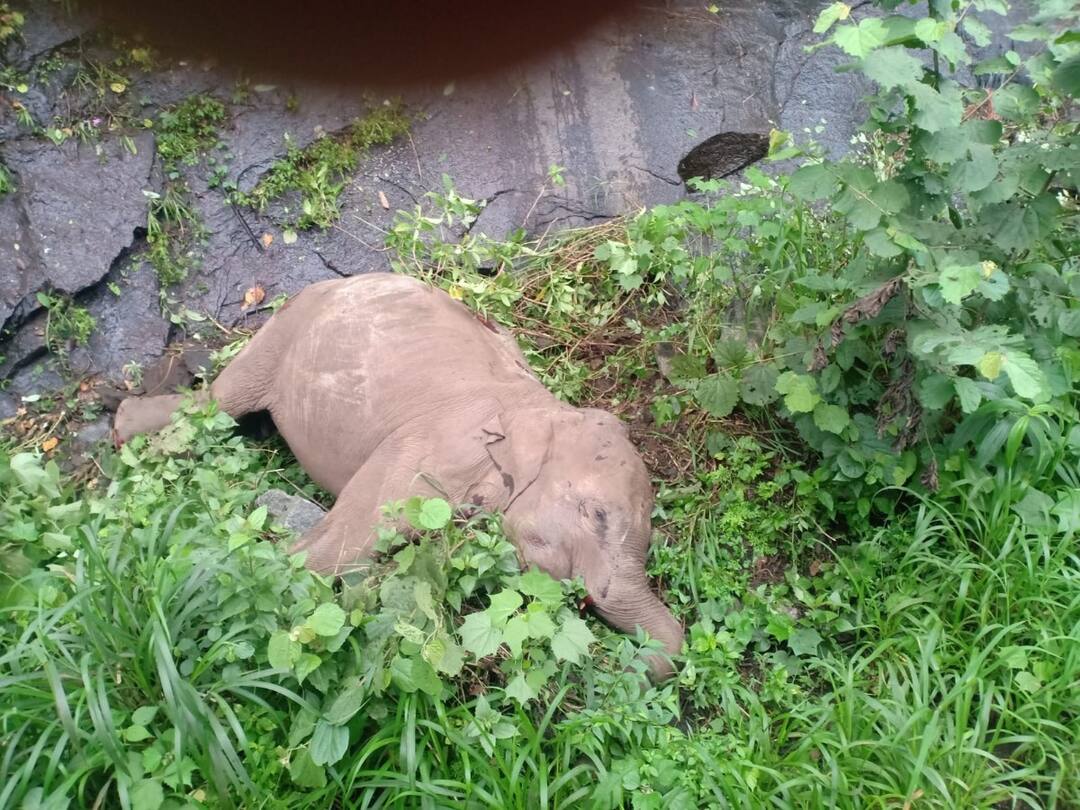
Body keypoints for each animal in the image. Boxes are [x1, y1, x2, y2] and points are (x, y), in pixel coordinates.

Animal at [114, 273, 683, 678]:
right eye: (598, 515)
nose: (644, 662)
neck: (544, 410)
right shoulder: (431, 450)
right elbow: (344, 546)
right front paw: (282, 595)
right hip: (283, 331)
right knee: (219, 403)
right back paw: (128, 432)